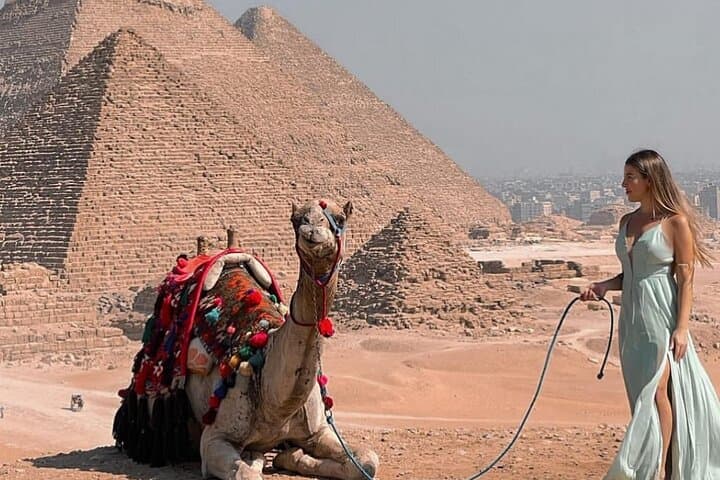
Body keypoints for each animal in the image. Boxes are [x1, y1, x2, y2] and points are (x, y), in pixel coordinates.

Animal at [113, 199, 379, 480]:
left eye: (340, 218)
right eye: (296, 219)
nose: (311, 232)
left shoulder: (318, 431)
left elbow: (367, 461)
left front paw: (290, 456)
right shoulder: (213, 438)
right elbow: (246, 473)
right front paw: (264, 458)